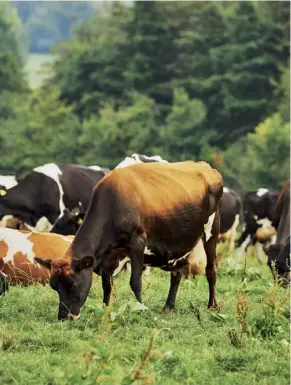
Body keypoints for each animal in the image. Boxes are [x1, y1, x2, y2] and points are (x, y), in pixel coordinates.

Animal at [36, 160, 224, 320]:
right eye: (54, 286)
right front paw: (106, 310)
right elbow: (107, 285)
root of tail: (206, 167)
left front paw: (140, 308)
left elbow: (136, 282)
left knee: (211, 269)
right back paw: (168, 307)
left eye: (73, 285)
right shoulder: (110, 256)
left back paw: (212, 307)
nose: (64, 317)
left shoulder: (138, 241)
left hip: (212, 230)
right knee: (176, 273)